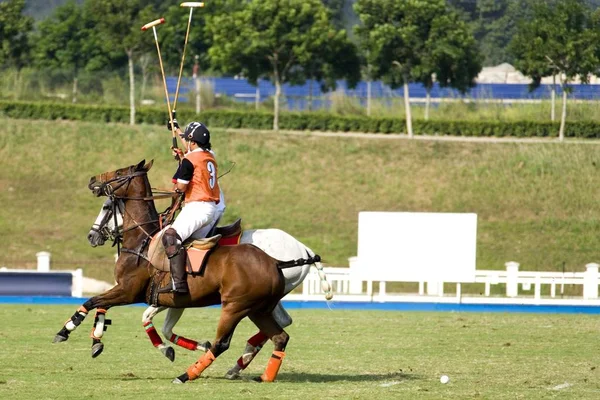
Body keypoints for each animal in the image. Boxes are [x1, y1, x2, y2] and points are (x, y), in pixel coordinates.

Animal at [55, 160, 294, 384]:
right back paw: (263, 376)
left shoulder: (128, 291)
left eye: (119, 173)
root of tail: (274, 263)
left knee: (221, 343)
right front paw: (96, 341)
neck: (141, 241)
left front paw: (66, 330)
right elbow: (104, 306)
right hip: (258, 309)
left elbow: (92, 301)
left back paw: (187, 375)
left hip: (235, 307)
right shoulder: (163, 299)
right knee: (281, 336)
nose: (92, 180)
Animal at [88, 198, 332, 380]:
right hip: (268, 300)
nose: (92, 236)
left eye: (106, 207)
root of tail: (304, 248)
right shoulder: (171, 299)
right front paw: (182, 348)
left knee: (274, 324)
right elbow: (159, 325)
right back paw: (239, 365)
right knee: (283, 322)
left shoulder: (157, 294)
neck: (147, 242)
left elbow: (146, 317)